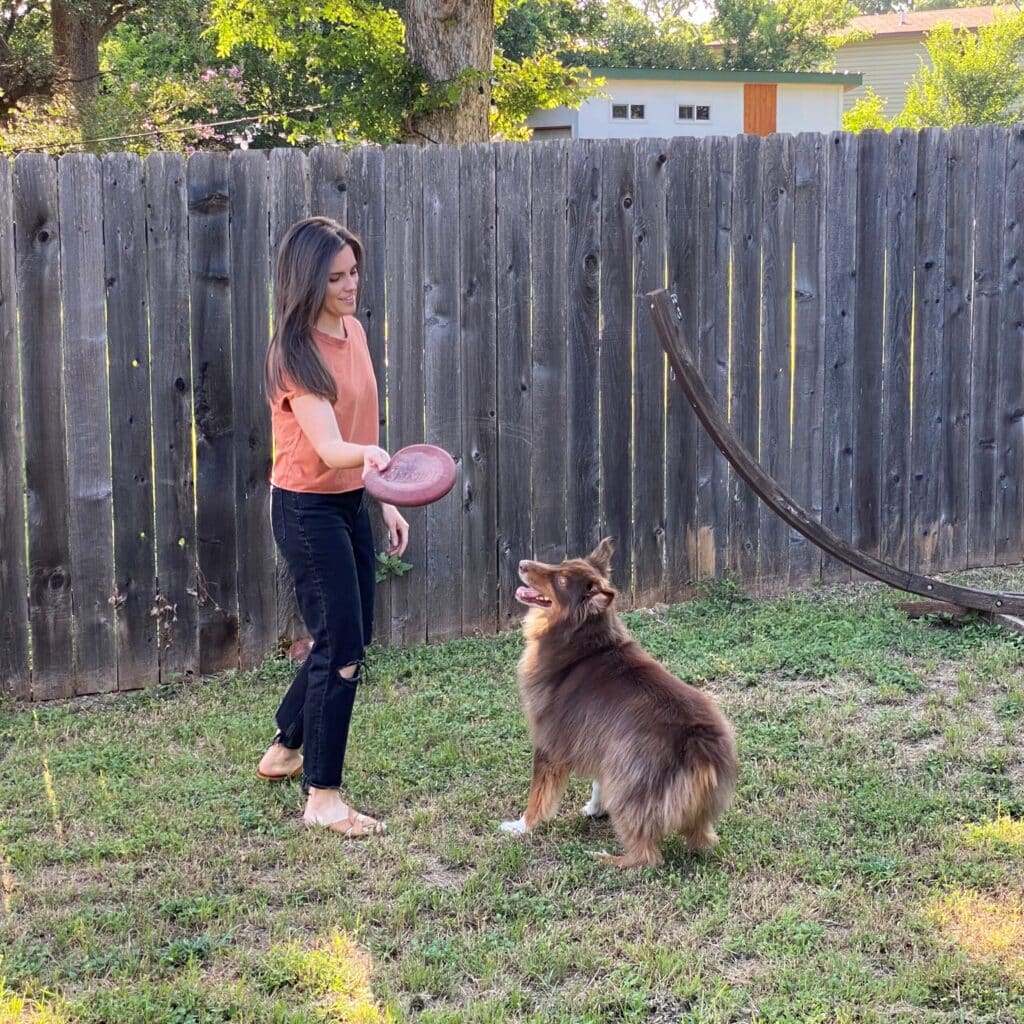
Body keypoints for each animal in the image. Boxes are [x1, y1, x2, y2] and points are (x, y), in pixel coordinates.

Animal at [501, 540, 737, 868]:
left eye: (560, 580)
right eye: (561, 563)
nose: (522, 563)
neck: (582, 643)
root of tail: (699, 744)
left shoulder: (550, 744)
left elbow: (539, 796)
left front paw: (520, 827)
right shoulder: (603, 741)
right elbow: (598, 783)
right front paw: (594, 809)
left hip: (631, 787)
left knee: (647, 856)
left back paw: (604, 858)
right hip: (648, 782)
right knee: (702, 839)